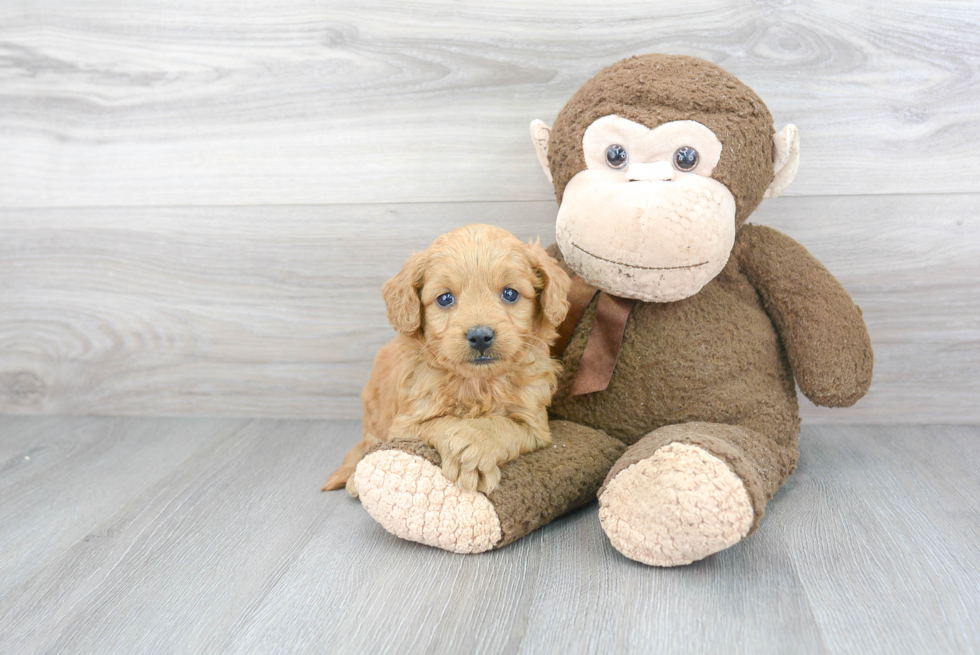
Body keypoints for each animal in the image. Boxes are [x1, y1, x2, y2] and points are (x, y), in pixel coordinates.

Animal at [322, 226, 572, 498]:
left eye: (510, 293)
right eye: (445, 299)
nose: (480, 336)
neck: (478, 383)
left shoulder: (534, 424)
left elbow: (505, 426)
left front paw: (475, 443)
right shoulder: (406, 424)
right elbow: (440, 423)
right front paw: (465, 454)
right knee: (367, 443)